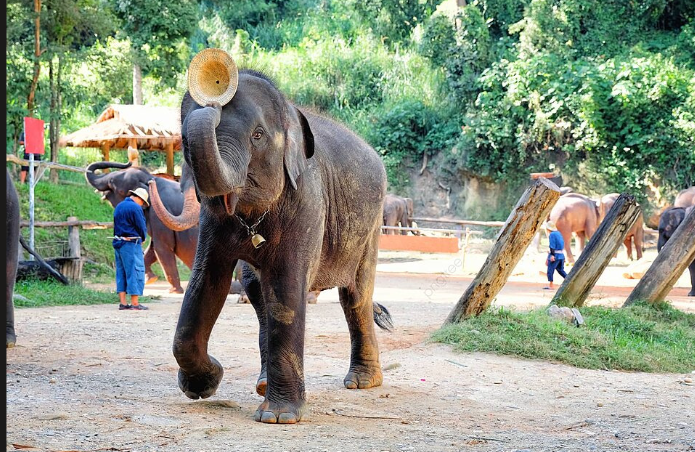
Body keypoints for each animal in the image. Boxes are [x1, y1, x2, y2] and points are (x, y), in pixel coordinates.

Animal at [85, 161, 198, 293]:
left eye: (112, 182)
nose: (128, 162)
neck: (151, 179)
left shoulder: (158, 217)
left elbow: (162, 247)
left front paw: (174, 291)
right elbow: (152, 247)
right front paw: (151, 279)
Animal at [172, 65, 392, 424]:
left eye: (258, 135)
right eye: (184, 142)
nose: (214, 95)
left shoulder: (307, 200)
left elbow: (287, 286)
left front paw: (278, 417)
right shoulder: (212, 220)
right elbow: (206, 283)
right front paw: (204, 385)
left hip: (372, 225)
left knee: (356, 296)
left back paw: (362, 382)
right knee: (256, 291)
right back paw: (263, 384)